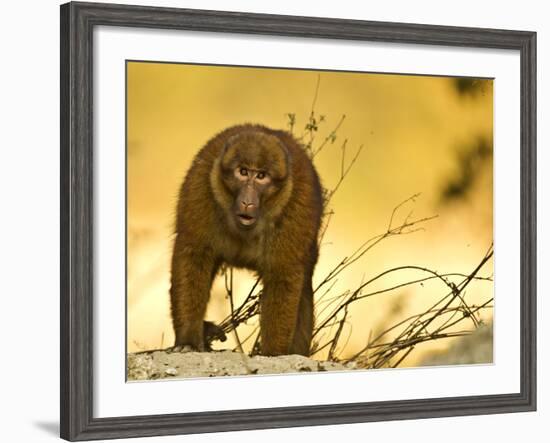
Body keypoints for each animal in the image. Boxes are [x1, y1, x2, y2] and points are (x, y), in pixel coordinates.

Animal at [168, 124, 324, 358]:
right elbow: (194, 254)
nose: (247, 201)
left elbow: (283, 276)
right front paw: (188, 340)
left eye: (261, 176)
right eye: (242, 172)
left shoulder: (297, 204)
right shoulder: (202, 186)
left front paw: (272, 354)